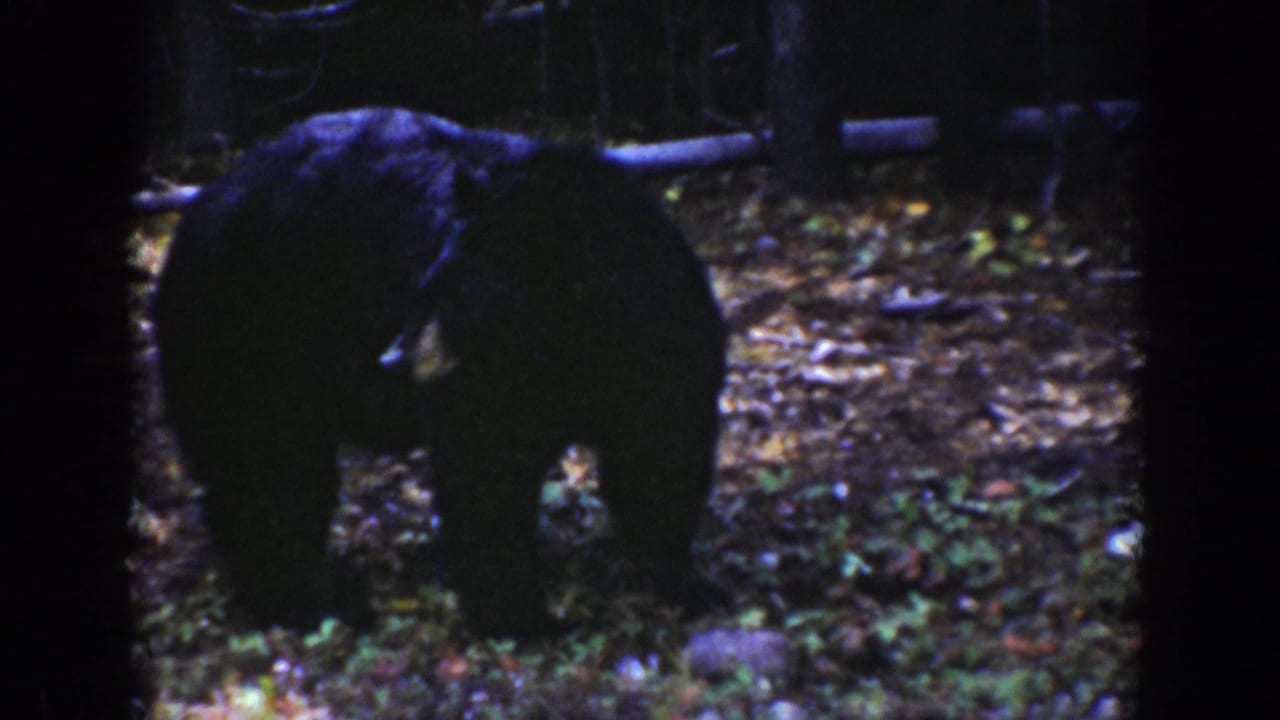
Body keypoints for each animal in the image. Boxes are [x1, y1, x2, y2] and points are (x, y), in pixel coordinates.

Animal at [151, 108, 726, 637]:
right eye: (429, 282)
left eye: (457, 296)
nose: (392, 360)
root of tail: (196, 213)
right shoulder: (486, 388)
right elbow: (486, 474)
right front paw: (525, 616)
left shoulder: (665, 346)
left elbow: (659, 454)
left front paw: (685, 581)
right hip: (255, 339)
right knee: (271, 470)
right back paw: (317, 600)